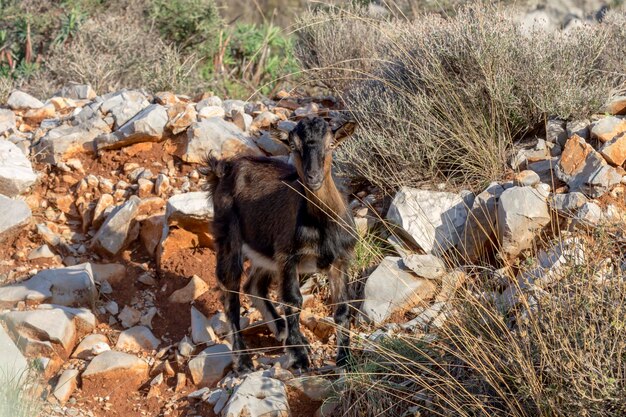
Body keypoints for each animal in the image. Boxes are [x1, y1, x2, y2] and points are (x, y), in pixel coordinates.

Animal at [204, 115, 356, 368]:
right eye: (293, 146)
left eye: (331, 145)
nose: (313, 177)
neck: (321, 223)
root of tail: (223, 171)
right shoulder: (287, 256)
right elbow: (293, 301)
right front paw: (299, 357)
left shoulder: (340, 259)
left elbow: (343, 308)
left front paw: (345, 358)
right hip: (228, 237)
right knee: (231, 294)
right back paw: (243, 359)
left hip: (265, 252)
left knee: (253, 285)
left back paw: (283, 330)